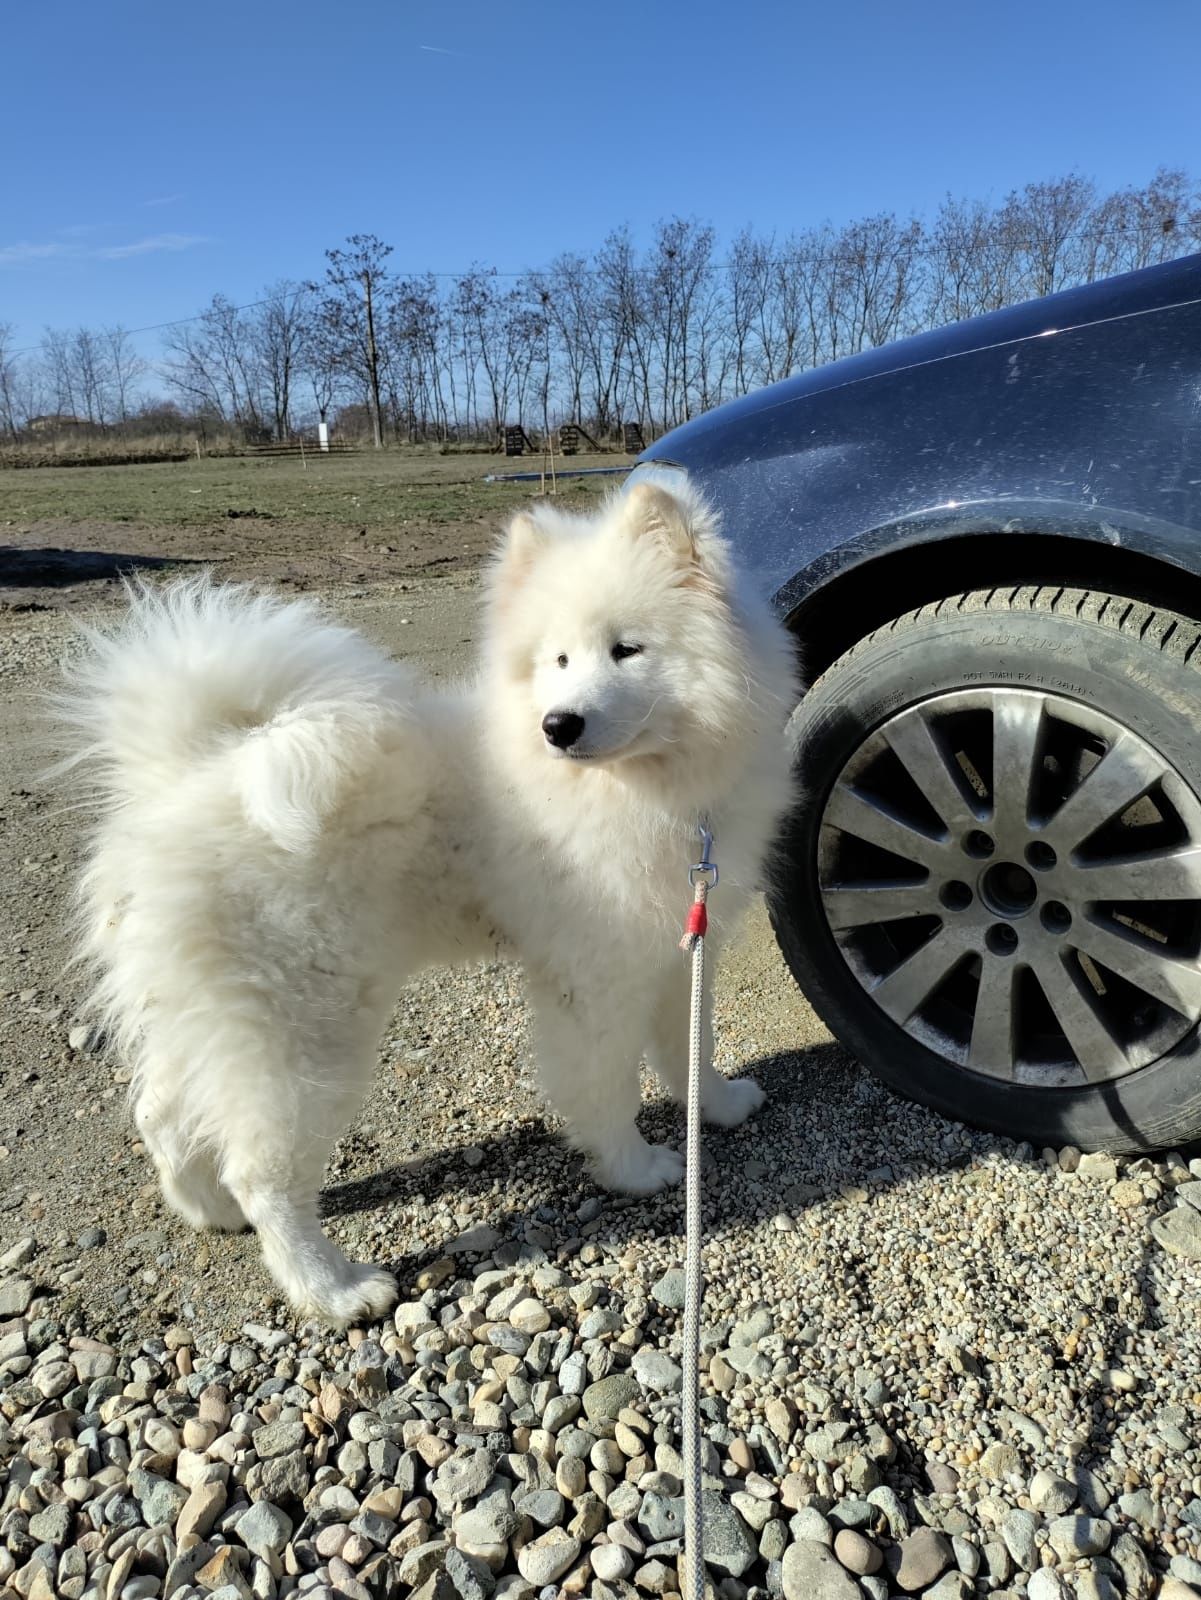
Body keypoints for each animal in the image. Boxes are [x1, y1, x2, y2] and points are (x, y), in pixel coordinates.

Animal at [58, 476, 799, 1324]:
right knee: (263, 1170)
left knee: (161, 1112)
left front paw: (717, 1106)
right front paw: (634, 1168)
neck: (642, 787)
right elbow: (604, 1084)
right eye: (557, 659)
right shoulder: (595, 976)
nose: (558, 725)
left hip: (203, 1014)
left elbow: (689, 1048)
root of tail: (179, 778)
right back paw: (334, 1286)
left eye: (625, 649)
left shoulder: (674, 953)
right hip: (305, 1034)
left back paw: (208, 1209)